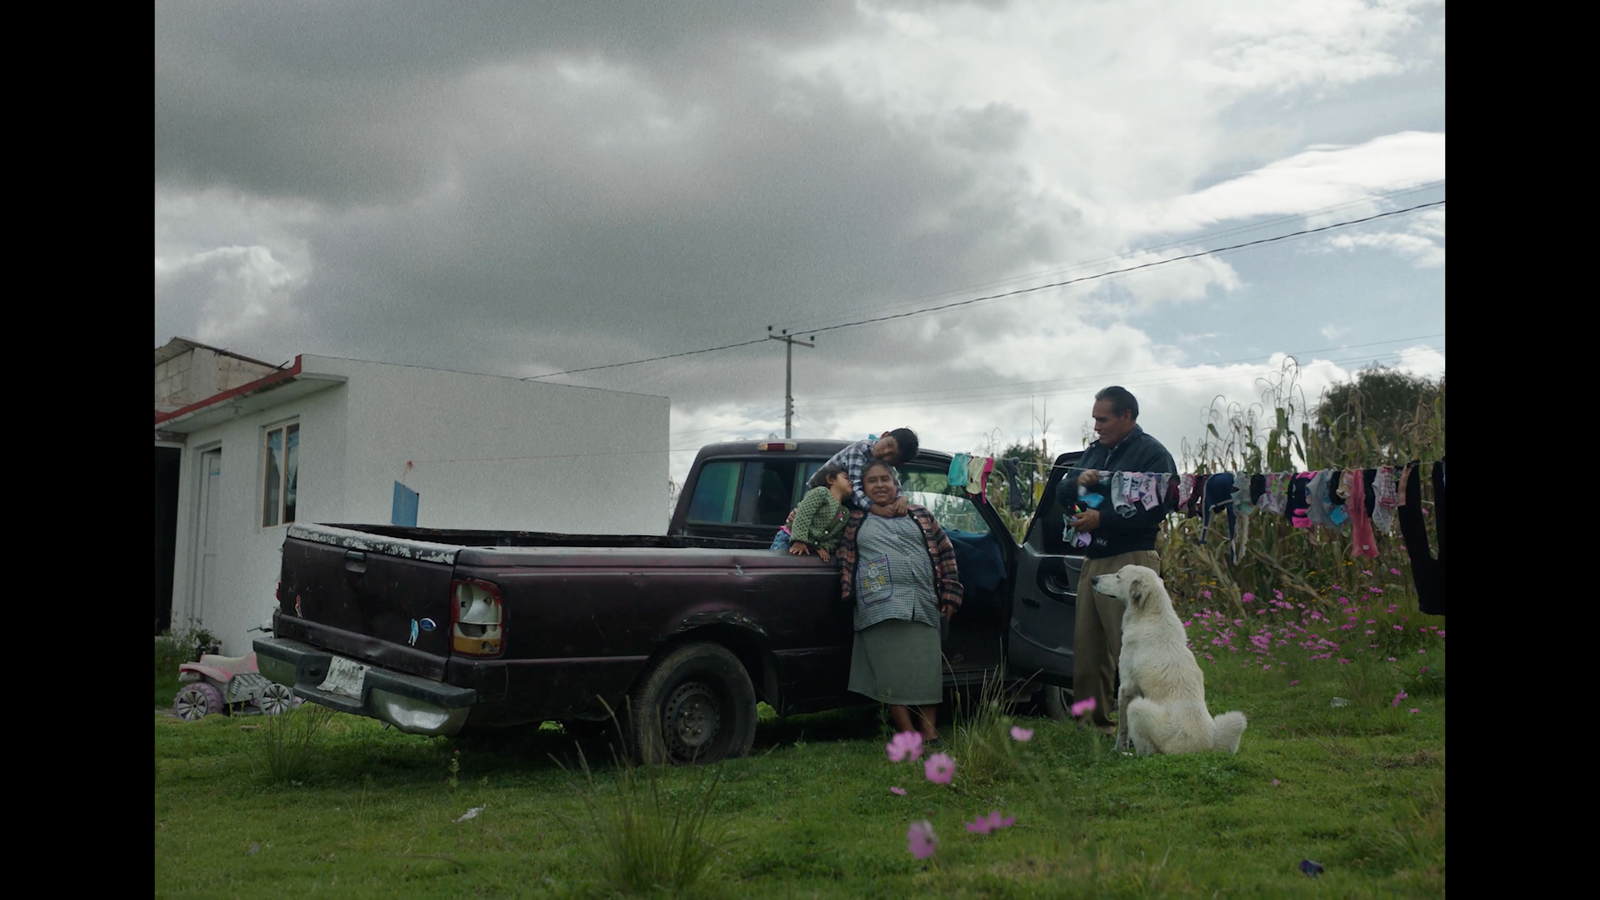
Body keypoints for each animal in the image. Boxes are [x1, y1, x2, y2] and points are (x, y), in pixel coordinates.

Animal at [1088, 563, 1248, 752]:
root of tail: (1197, 748)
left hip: (1138, 708)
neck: (1152, 615)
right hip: (1235, 720)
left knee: (1148, 751)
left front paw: (1118, 749)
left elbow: (1123, 728)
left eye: (1118, 576)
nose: (1093, 579)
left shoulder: (1127, 687)